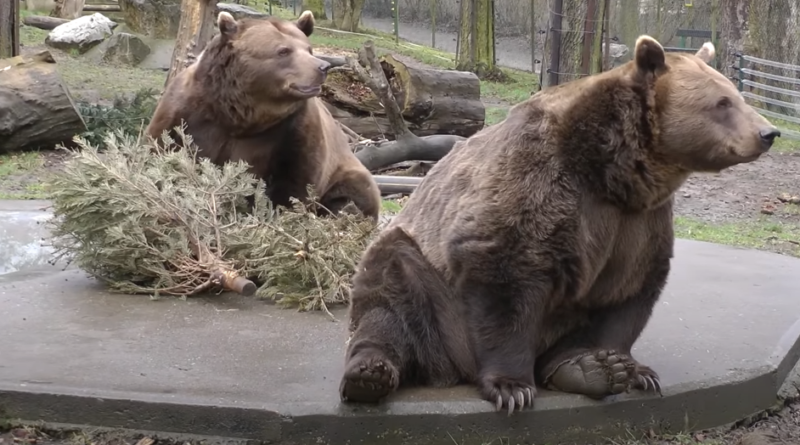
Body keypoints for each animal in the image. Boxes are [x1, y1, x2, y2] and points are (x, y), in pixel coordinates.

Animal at [146, 11, 382, 222]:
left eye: (309, 48)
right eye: (283, 51)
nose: (322, 66)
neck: (242, 115)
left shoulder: (292, 130)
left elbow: (293, 183)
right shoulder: (187, 113)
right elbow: (161, 148)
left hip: (345, 169)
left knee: (356, 192)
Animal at [338, 34, 780, 412]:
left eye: (737, 96)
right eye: (722, 102)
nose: (768, 132)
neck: (615, 171)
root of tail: (454, 366)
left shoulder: (638, 221)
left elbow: (627, 292)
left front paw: (622, 367)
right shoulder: (539, 180)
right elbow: (504, 270)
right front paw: (512, 387)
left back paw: (581, 369)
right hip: (430, 287)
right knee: (390, 298)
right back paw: (369, 373)